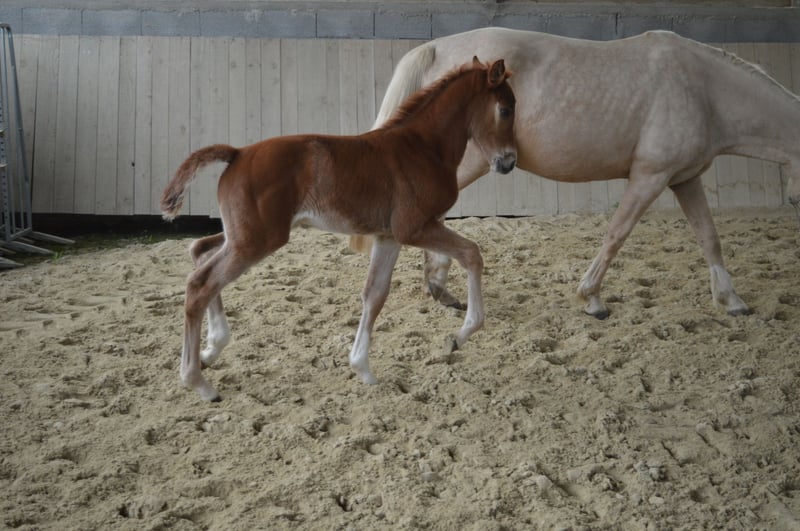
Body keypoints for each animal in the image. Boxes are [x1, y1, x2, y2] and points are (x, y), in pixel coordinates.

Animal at [161, 58, 517, 402]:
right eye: (505, 109)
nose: (509, 162)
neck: (422, 148)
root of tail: (237, 154)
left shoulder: (389, 237)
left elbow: (375, 294)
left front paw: (363, 369)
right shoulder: (414, 228)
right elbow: (471, 254)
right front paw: (458, 337)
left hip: (242, 234)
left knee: (199, 251)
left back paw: (212, 348)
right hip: (255, 240)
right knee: (200, 284)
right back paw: (198, 381)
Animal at [350, 27, 800, 319]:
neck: (701, 89)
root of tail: (435, 47)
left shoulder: (684, 179)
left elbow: (709, 237)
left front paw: (732, 300)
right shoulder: (650, 177)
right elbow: (616, 234)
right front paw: (592, 299)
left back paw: (439, 287)